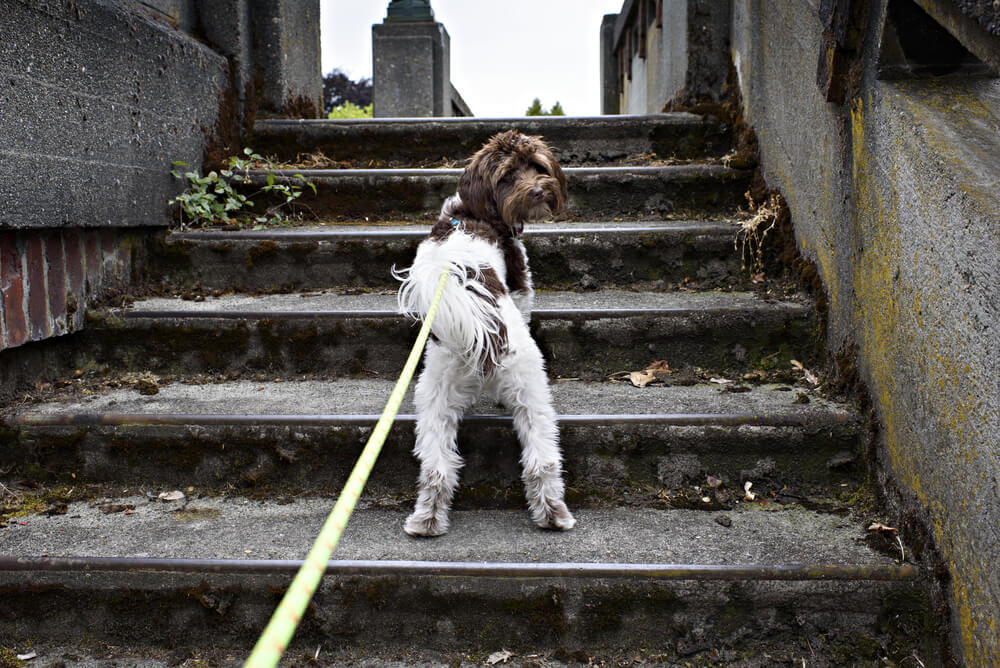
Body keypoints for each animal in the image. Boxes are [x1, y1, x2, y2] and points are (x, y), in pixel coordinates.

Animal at [394, 130, 576, 536]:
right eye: (508, 175)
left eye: (537, 166)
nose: (539, 190)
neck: (472, 213)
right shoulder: (521, 283)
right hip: (529, 382)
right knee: (542, 457)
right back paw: (554, 514)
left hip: (434, 394)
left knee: (437, 466)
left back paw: (426, 520)